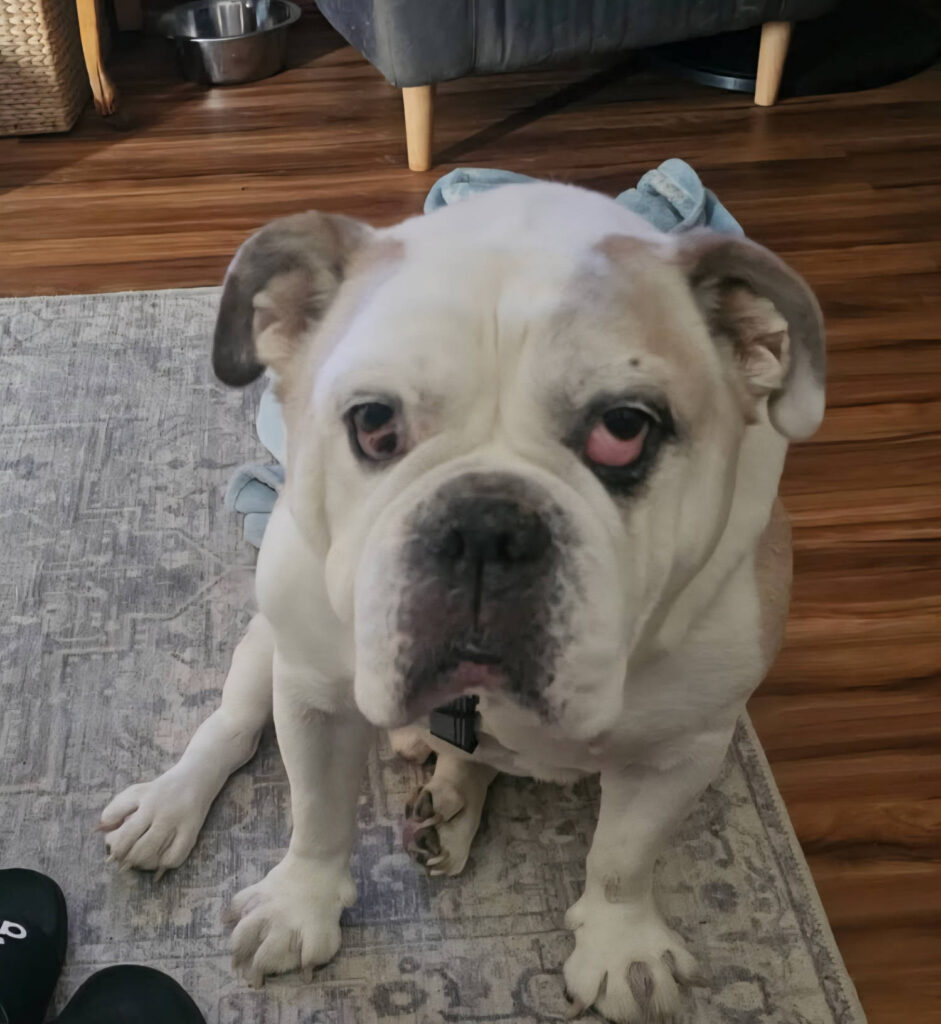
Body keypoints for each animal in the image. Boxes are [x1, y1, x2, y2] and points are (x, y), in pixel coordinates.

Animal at [100, 182, 823, 1023]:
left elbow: (622, 856)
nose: (484, 525)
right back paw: (170, 806)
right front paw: (295, 905)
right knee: (232, 728)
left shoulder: (682, 751)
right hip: (267, 644)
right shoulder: (314, 697)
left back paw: (445, 802)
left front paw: (622, 949)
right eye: (372, 423)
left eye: (624, 430)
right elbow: (316, 814)